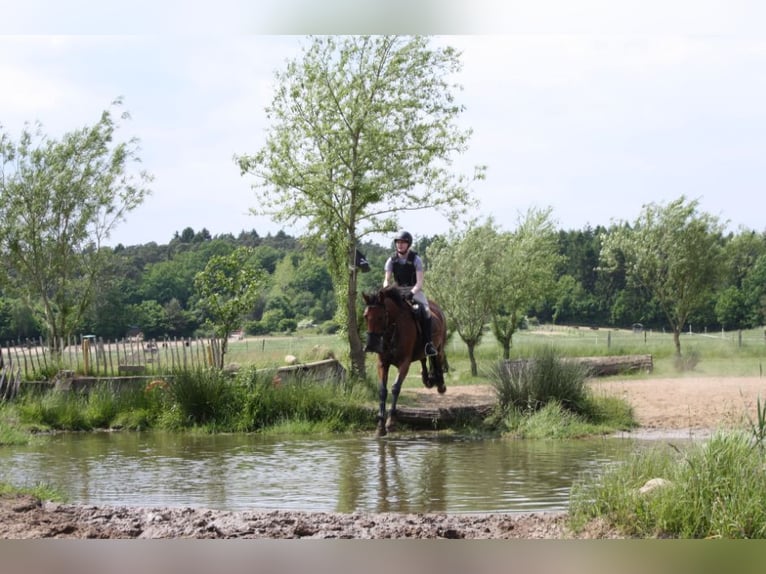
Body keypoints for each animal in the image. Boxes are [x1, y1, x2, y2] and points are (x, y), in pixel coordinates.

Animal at [364, 286, 450, 438]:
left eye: (381, 317)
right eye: (365, 316)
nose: (371, 346)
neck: (393, 329)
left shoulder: (404, 363)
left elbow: (395, 388)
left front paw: (391, 422)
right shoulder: (382, 364)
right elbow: (382, 390)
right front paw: (380, 425)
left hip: (439, 346)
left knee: (437, 360)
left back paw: (440, 385)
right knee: (424, 359)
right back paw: (427, 380)